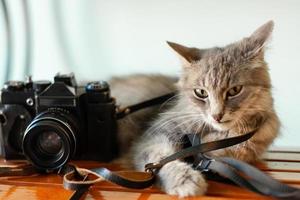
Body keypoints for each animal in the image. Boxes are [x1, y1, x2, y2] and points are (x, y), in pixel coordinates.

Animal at [111, 20, 280, 197]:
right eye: (201, 92)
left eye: (235, 90)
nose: (216, 115)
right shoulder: (153, 136)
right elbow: (160, 161)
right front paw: (186, 180)